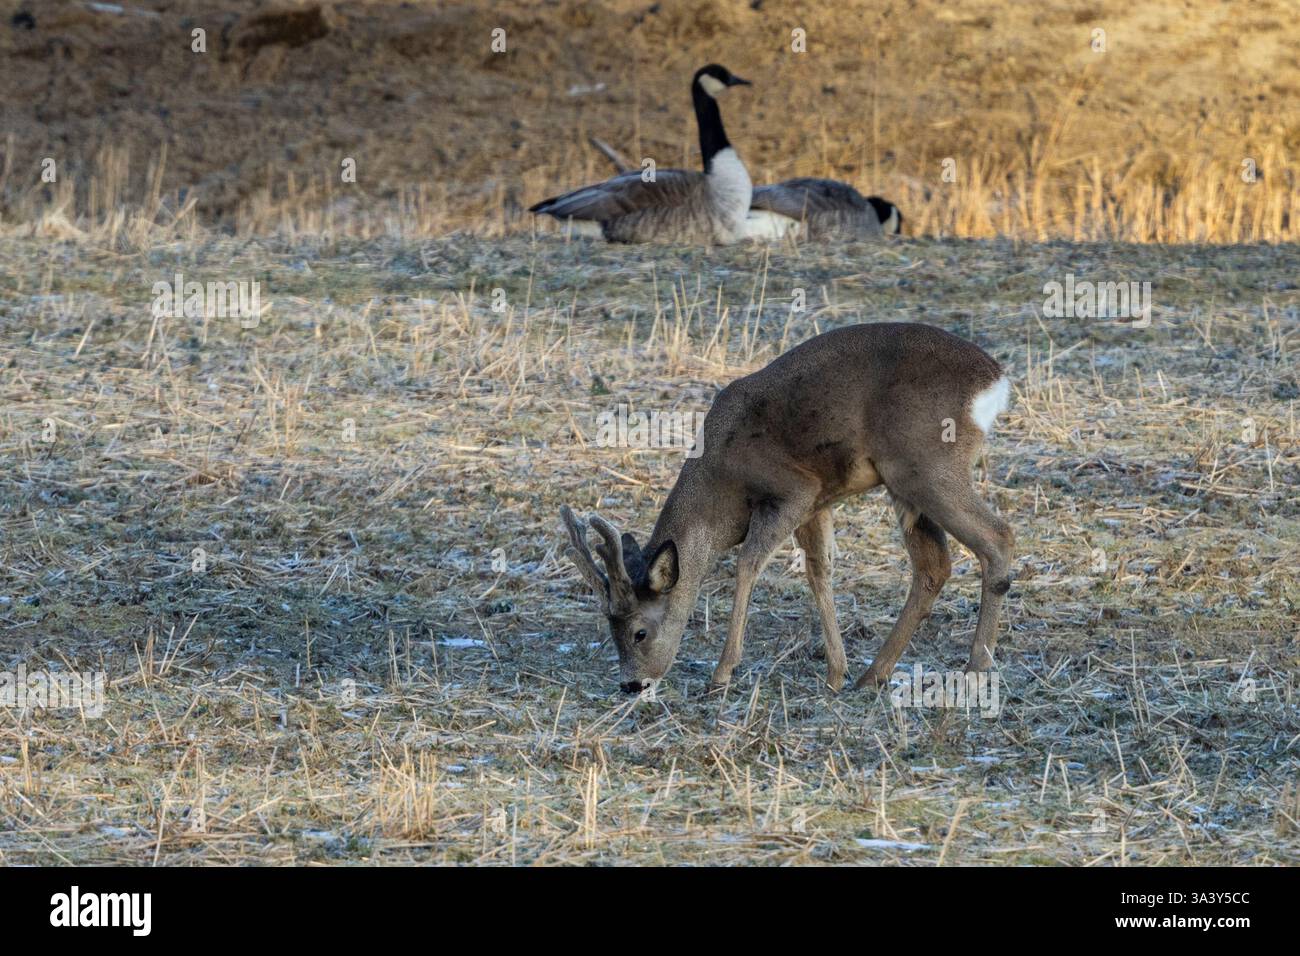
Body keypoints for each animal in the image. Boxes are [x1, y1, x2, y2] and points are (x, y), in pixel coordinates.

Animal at [560, 321, 1014, 695]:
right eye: (610, 627)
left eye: (639, 632)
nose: (631, 684)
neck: (722, 486)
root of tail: (995, 381)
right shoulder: (818, 503)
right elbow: (819, 573)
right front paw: (836, 672)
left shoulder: (795, 489)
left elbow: (747, 564)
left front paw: (722, 672)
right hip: (907, 484)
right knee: (933, 566)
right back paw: (873, 675)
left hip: (927, 466)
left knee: (998, 537)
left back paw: (975, 669)